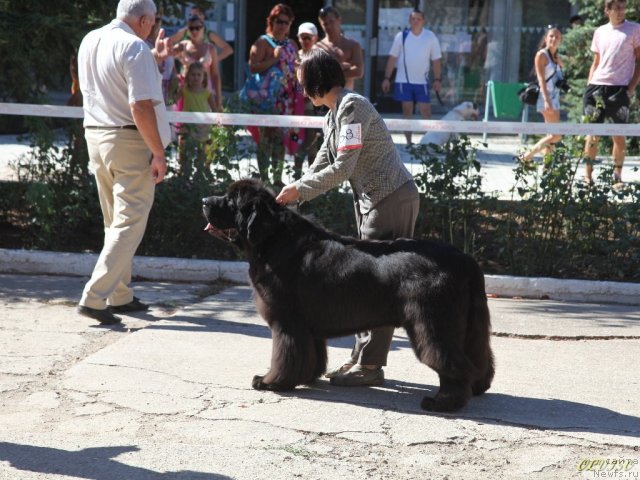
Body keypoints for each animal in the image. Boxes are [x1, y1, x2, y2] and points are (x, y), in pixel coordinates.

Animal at [202, 180, 492, 412]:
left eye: (231, 201)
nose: (204, 201)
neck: (272, 239)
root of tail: (465, 260)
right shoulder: (307, 327)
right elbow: (312, 355)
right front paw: (307, 377)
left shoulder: (287, 322)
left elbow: (284, 356)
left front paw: (270, 382)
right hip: (470, 323)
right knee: (479, 355)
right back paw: (477, 386)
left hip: (433, 325)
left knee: (451, 361)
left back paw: (444, 402)